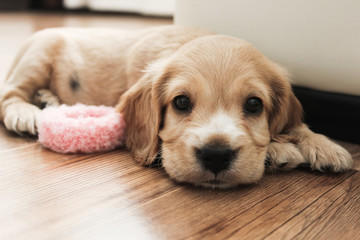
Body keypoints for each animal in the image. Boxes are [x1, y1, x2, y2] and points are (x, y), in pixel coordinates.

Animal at [0, 25, 352, 188]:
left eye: (254, 105)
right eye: (181, 102)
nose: (216, 155)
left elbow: (296, 124)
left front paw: (323, 146)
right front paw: (280, 149)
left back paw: (48, 98)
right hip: (39, 53)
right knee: (9, 95)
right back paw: (26, 111)